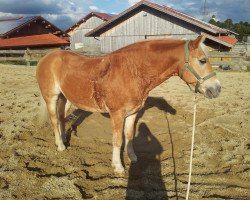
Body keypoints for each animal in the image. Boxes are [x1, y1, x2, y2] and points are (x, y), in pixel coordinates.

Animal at [36, 35, 221, 173]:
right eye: (202, 60)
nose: (217, 89)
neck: (132, 71)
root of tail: (47, 57)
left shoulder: (132, 113)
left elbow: (129, 136)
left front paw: (132, 158)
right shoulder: (117, 114)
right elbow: (117, 139)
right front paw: (118, 166)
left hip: (65, 98)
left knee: (61, 119)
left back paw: (62, 140)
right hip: (51, 98)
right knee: (54, 120)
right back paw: (60, 146)